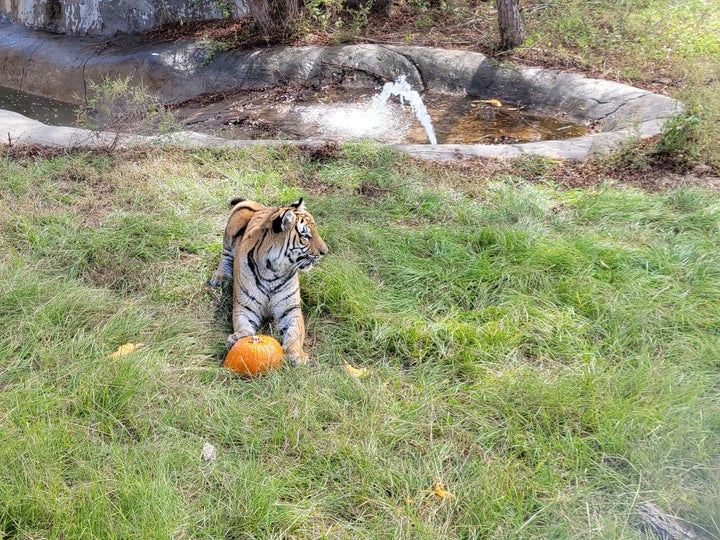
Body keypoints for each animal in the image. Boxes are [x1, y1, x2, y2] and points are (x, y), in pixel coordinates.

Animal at [211, 196, 330, 364]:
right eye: (306, 237)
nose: (325, 251)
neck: (272, 270)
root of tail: (261, 206)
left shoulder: (290, 309)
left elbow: (295, 333)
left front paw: (295, 354)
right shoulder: (245, 306)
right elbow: (242, 324)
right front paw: (239, 337)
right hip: (235, 220)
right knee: (225, 256)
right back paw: (221, 277)